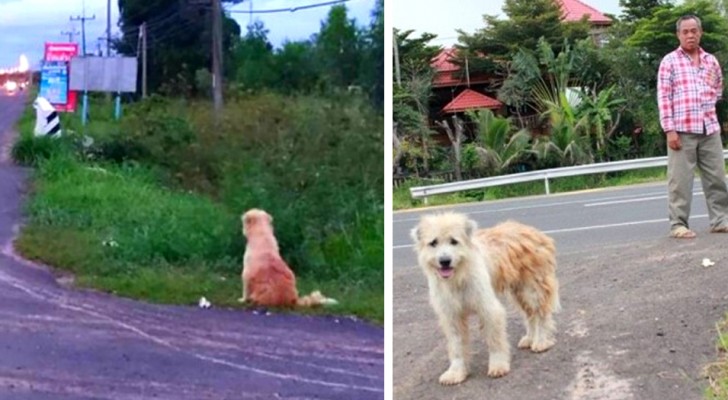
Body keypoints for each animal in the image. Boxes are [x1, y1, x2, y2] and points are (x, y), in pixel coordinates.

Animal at [412, 212, 560, 384]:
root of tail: (532, 230)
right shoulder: (451, 316)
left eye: (454, 241)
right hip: (518, 292)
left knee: (540, 314)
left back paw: (541, 341)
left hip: (532, 289)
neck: (458, 277)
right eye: (433, 243)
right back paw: (530, 338)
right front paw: (456, 372)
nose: (444, 261)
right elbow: (456, 346)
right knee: (530, 315)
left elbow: (495, 340)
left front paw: (498, 365)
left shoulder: (488, 308)